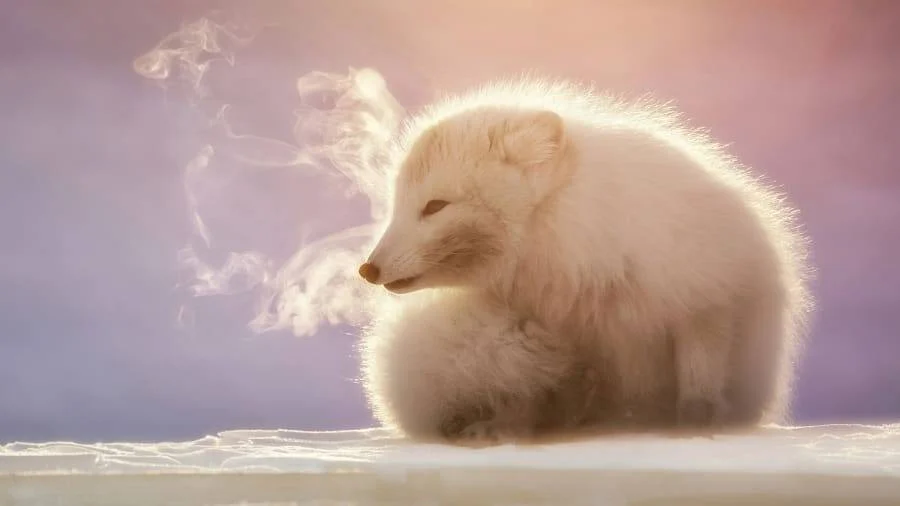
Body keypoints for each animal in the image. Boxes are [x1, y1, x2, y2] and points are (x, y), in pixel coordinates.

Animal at [357, 76, 814, 445]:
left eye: (435, 206)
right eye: (396, 203)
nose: (367, 269)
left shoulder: (707, 301)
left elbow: (699, 377)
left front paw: (694, 425)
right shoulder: (554, 334)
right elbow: (531, 396)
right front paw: (507, 427)